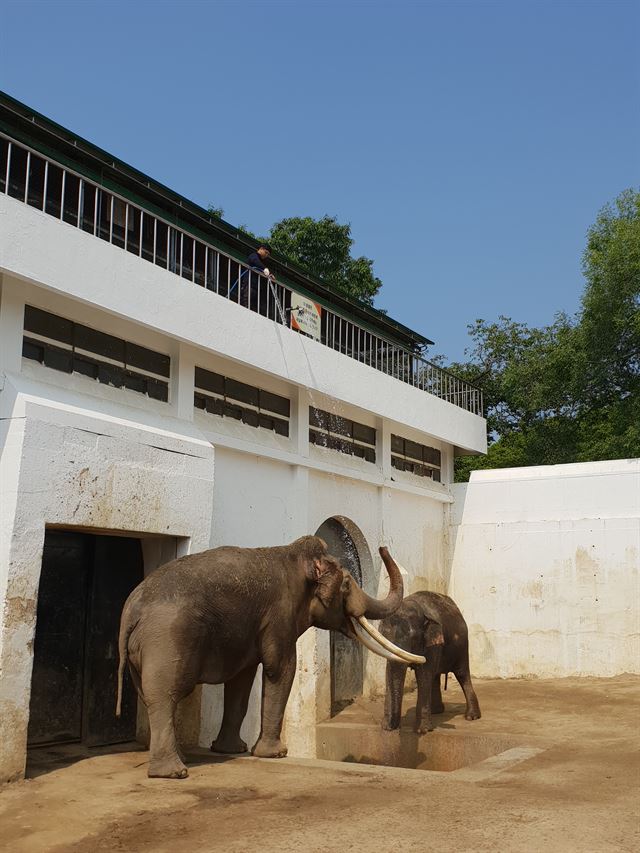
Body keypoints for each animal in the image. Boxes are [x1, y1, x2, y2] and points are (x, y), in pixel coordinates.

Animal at [117, 536, 422, 776]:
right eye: (347, 584)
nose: (383, 546)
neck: (292, 556)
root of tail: (132, 609)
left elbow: (242, 680)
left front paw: (232, 750)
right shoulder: (280, 615)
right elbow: (281, 668)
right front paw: (276, 754)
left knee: (150, 695)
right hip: (167, 640)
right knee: (164, 695)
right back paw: (174, 772)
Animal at [380, 592, 480, 732]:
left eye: (413, 637)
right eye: (382, 634)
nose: (392, 727)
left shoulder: (432, 642)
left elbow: (424, 674)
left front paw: (423, 730)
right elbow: (391, 670)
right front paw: (386, 727)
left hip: (462, 645)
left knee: (462, 674)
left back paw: (471, 717)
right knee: (435, 676)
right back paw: (436, 711)